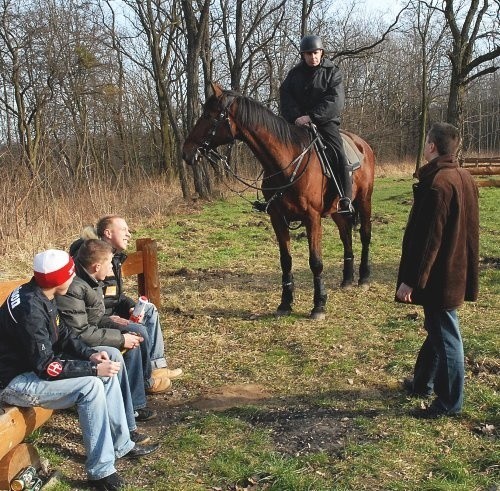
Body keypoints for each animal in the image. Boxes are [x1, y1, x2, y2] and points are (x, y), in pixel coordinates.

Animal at [182, 81, 374, 320]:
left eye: (209, 115)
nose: (186, 152)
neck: (288, 163)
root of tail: (363, 144)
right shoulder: (277, 218)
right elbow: (286, 261)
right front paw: (285, 303)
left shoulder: (312, 218)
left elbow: (316, 262)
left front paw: (319, 305)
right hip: (337, 211)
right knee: (346, 235)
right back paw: (347, 279)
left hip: (364, 201)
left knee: (364, 235)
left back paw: (364, 278)